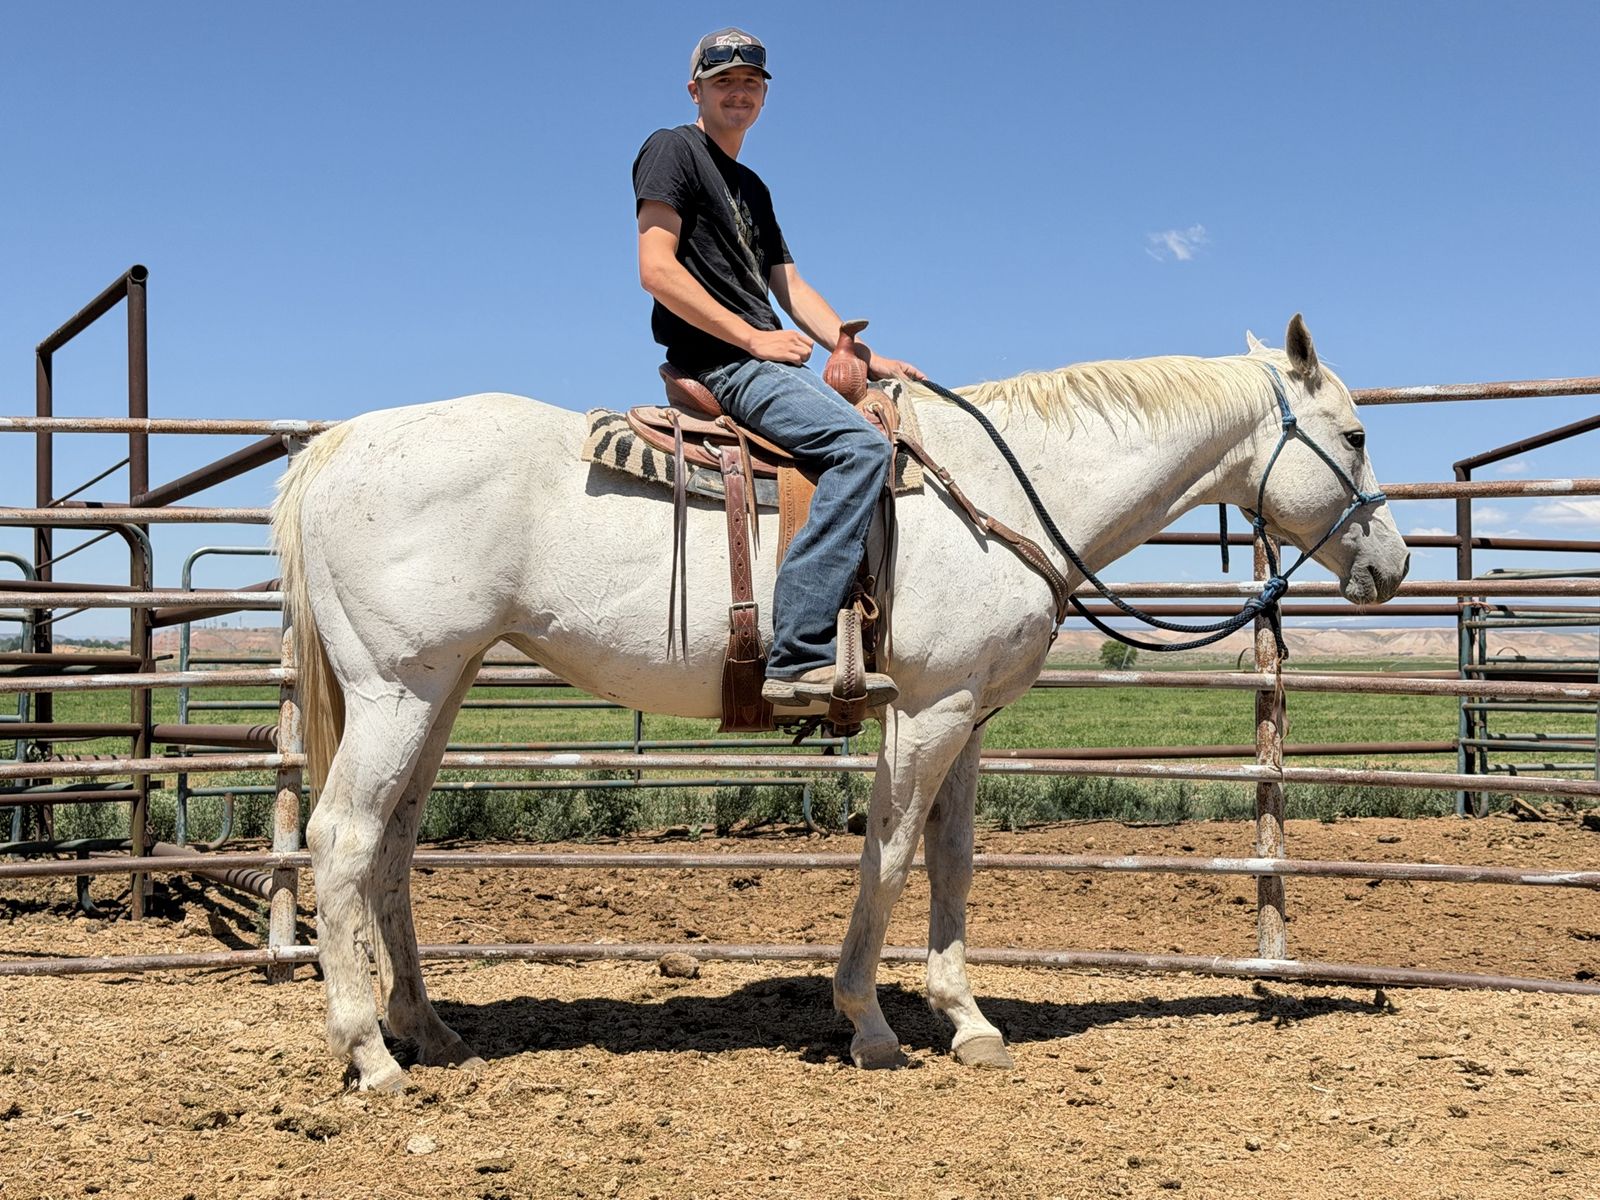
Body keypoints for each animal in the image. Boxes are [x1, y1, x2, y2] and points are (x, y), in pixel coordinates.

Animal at [270, 315, 1409, 1091]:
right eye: (1354, 436)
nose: (1393, 564)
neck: (1005, 488)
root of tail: (336, 445)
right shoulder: (929, 709)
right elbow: (891, 854)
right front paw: (868, 1021)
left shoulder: (972, 714)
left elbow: (953, 859)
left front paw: (967, 1019)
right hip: (398, 688)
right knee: (340, 838)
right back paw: (370, 1052)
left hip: (440, 688)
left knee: (393, 844)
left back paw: (431, 1030)